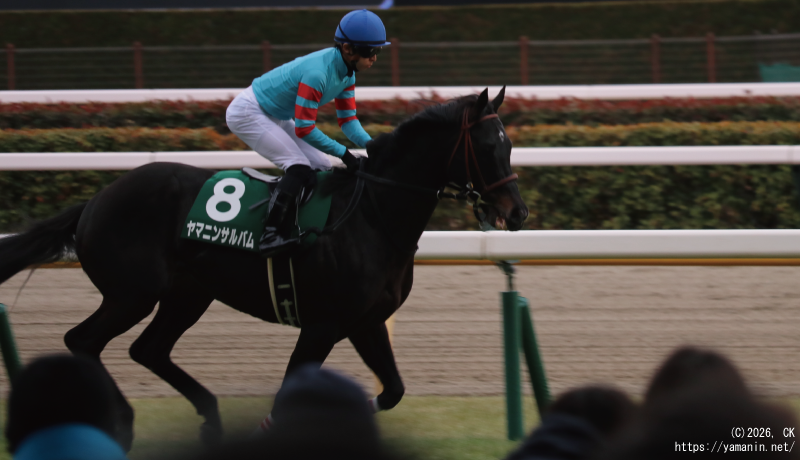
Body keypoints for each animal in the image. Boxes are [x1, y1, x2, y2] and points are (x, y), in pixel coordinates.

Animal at [0, 87, 528, 450]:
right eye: (487, 147)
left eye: (509, 147)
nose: (518, 212)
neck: (373, 213)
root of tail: (94, 200)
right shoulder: (321, 325)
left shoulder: (367, 322)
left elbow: (392, 391)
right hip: (133, 292)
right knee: (83, 340)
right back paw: (124, 421)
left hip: (187, 293)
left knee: (147, 349)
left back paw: (210, 418)